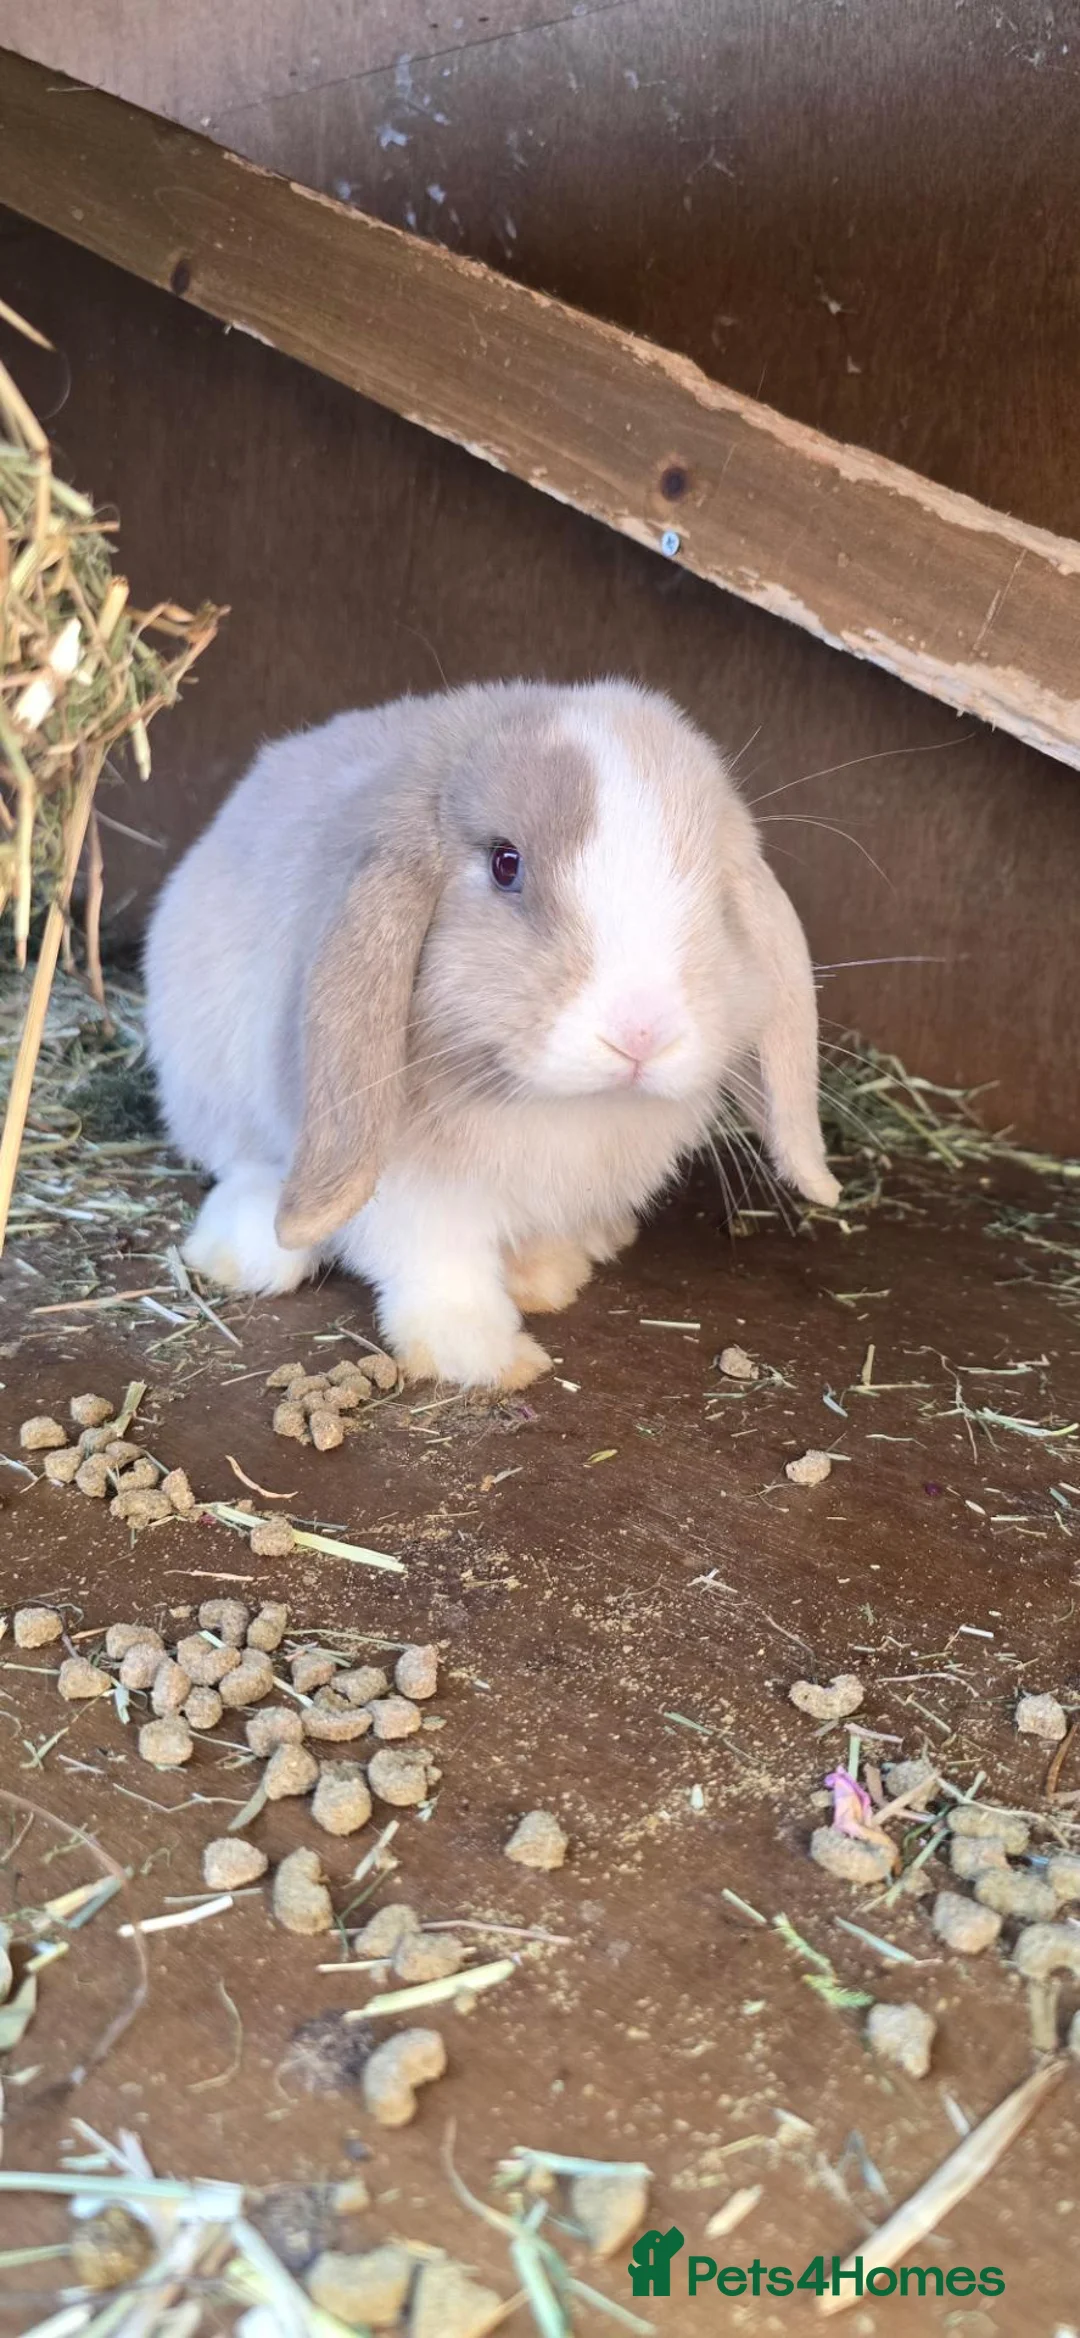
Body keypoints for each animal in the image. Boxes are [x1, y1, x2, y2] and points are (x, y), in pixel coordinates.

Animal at [144, 679, 839, 1389]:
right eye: (507, 864)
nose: (642, 1032)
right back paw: (246, 1250)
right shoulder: (410, 1195)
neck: (558, 1108)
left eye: (715, 888)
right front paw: (486, 1357)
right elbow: (439, 1267)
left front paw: (549, 1278)